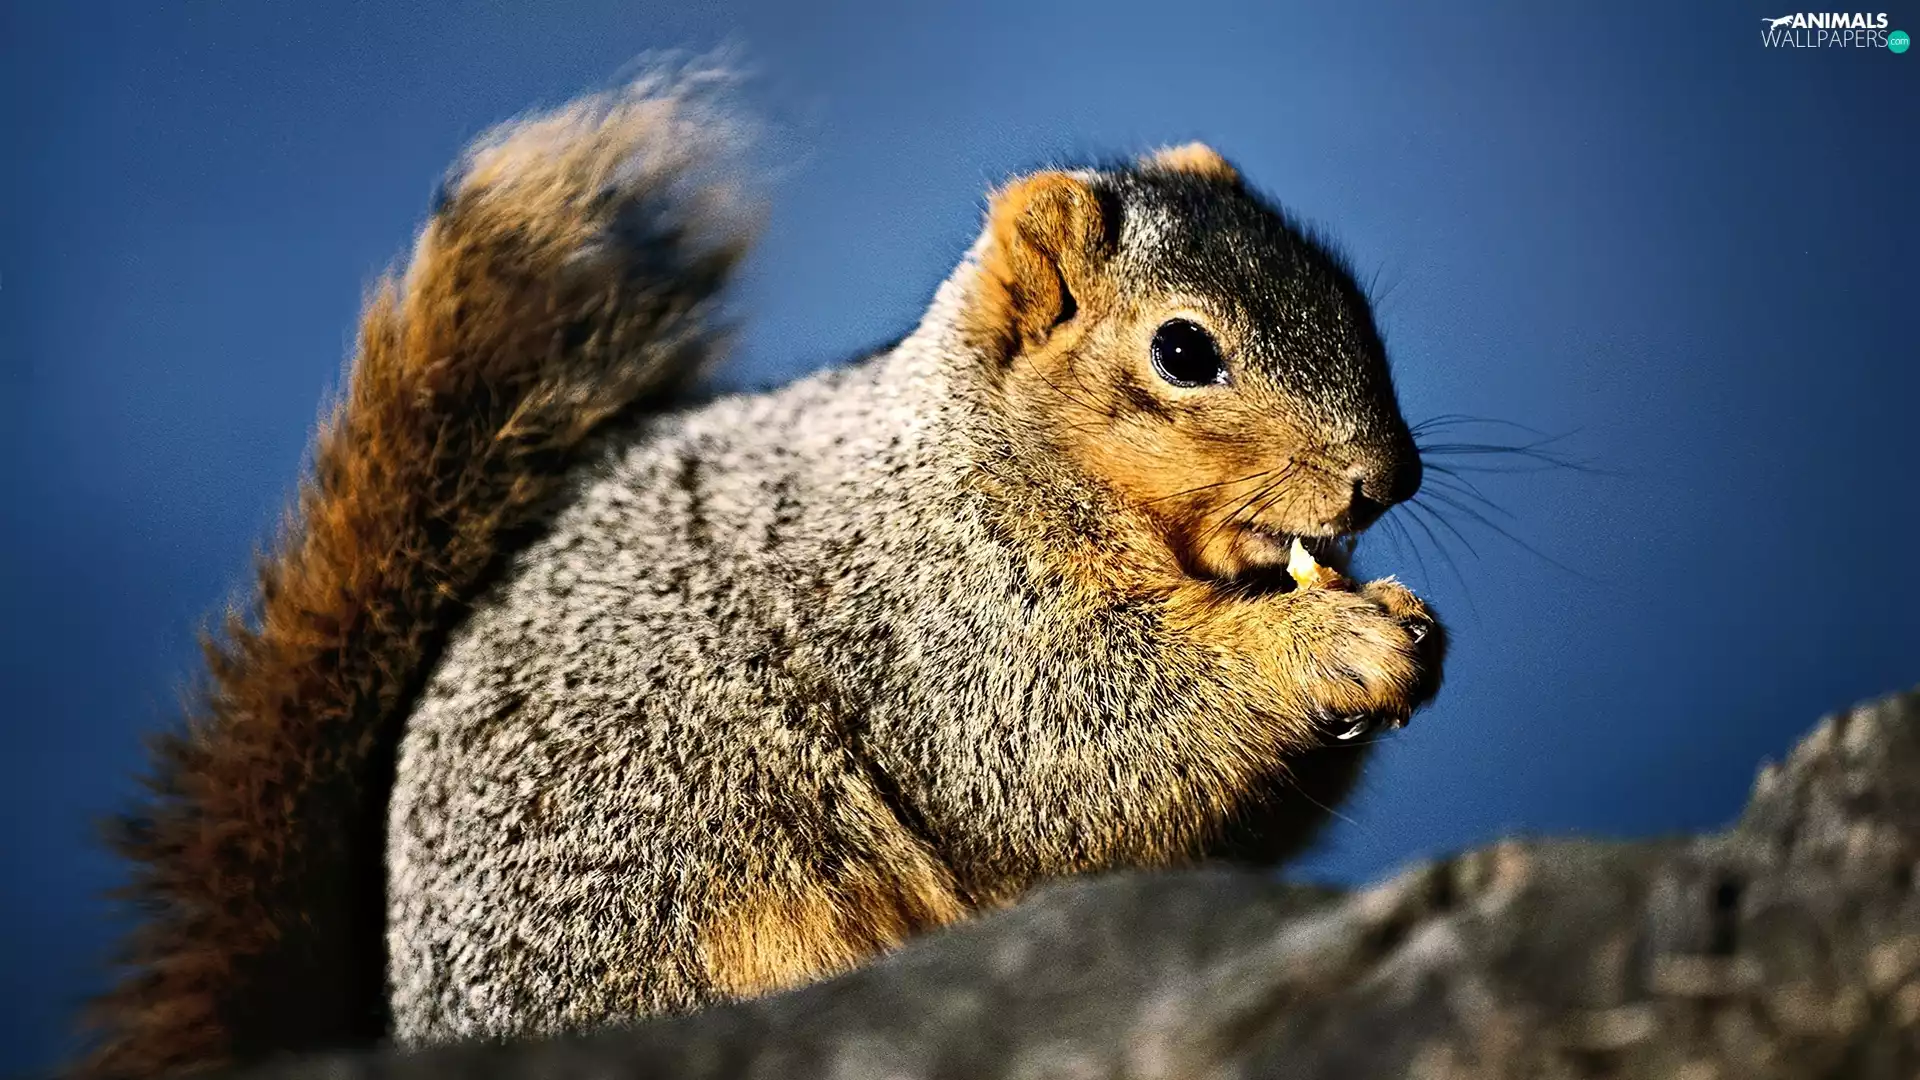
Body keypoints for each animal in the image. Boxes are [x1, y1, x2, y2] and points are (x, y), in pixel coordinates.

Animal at [85, 67, 1443, 1075]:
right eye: (1183, 351)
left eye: (1347, 292)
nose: (1383, 479)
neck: (986, 452)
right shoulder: (941, 621)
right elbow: (1076, 749)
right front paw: (1338, 643)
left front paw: (1411, 634)